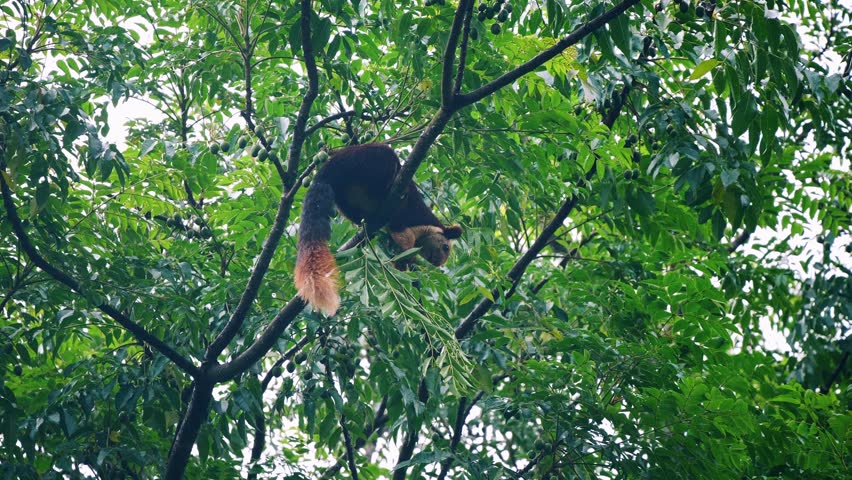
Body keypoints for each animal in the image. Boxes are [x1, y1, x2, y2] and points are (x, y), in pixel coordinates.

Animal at [294, 143, 466, 316]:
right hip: (374, 164)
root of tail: (326, 171)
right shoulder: (406, 220)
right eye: (445, 247)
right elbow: (404, 240)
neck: (428, 227)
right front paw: (408, 265)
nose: (438, 263)